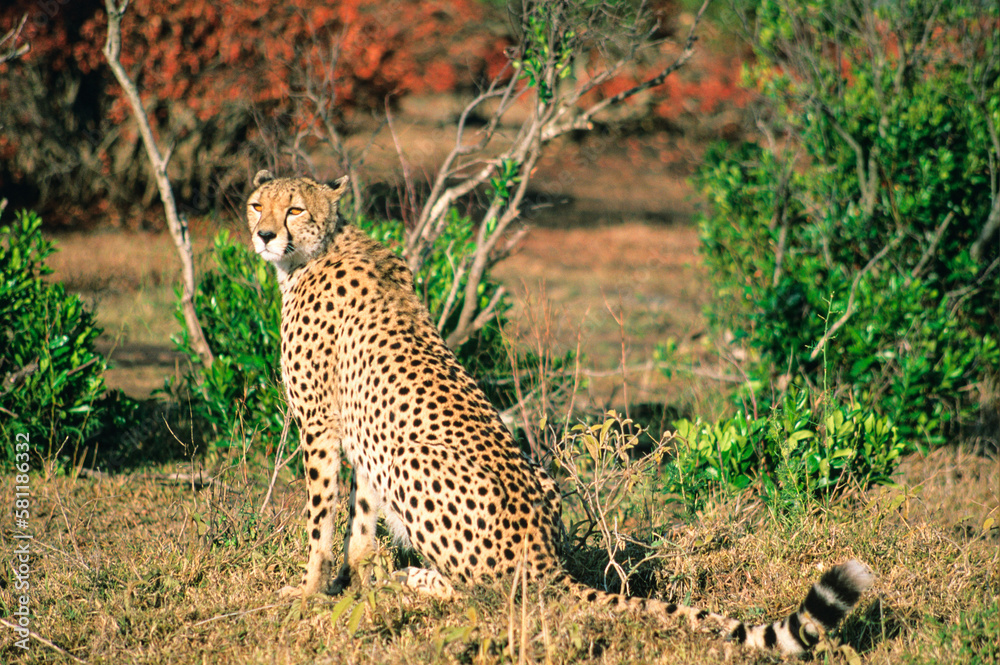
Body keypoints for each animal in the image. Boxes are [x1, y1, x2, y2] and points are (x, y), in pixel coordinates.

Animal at [246, 170, 874, 655]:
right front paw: (353, 583)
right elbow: (358, 525)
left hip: (412, 457)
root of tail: (548, 555)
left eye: (294, 208)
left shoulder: (321, 426)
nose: (263, 234)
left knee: (491, 596)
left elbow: (321, 522)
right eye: (257, 203)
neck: (319, 250)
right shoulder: (356, 433)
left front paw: (309, 591)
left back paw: (415, 581)